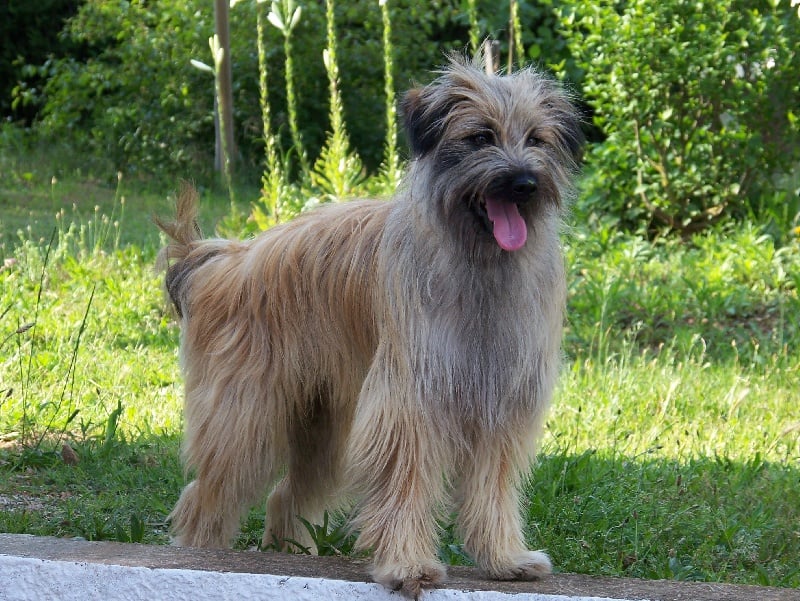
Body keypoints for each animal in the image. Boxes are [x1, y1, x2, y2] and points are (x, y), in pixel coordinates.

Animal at [156, 55, 580, 596]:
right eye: (481, 136)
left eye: (536, 139)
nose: (525, 183)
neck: (478, 263)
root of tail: (222, 259)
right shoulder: (411, 398)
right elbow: (406, 478)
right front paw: (408, 565)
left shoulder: (499, 404)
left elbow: (492, 488)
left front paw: (504, 558)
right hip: (244, 416)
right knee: (207, 492)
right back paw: (201, 556)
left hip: (321, 424)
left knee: (286, 495)